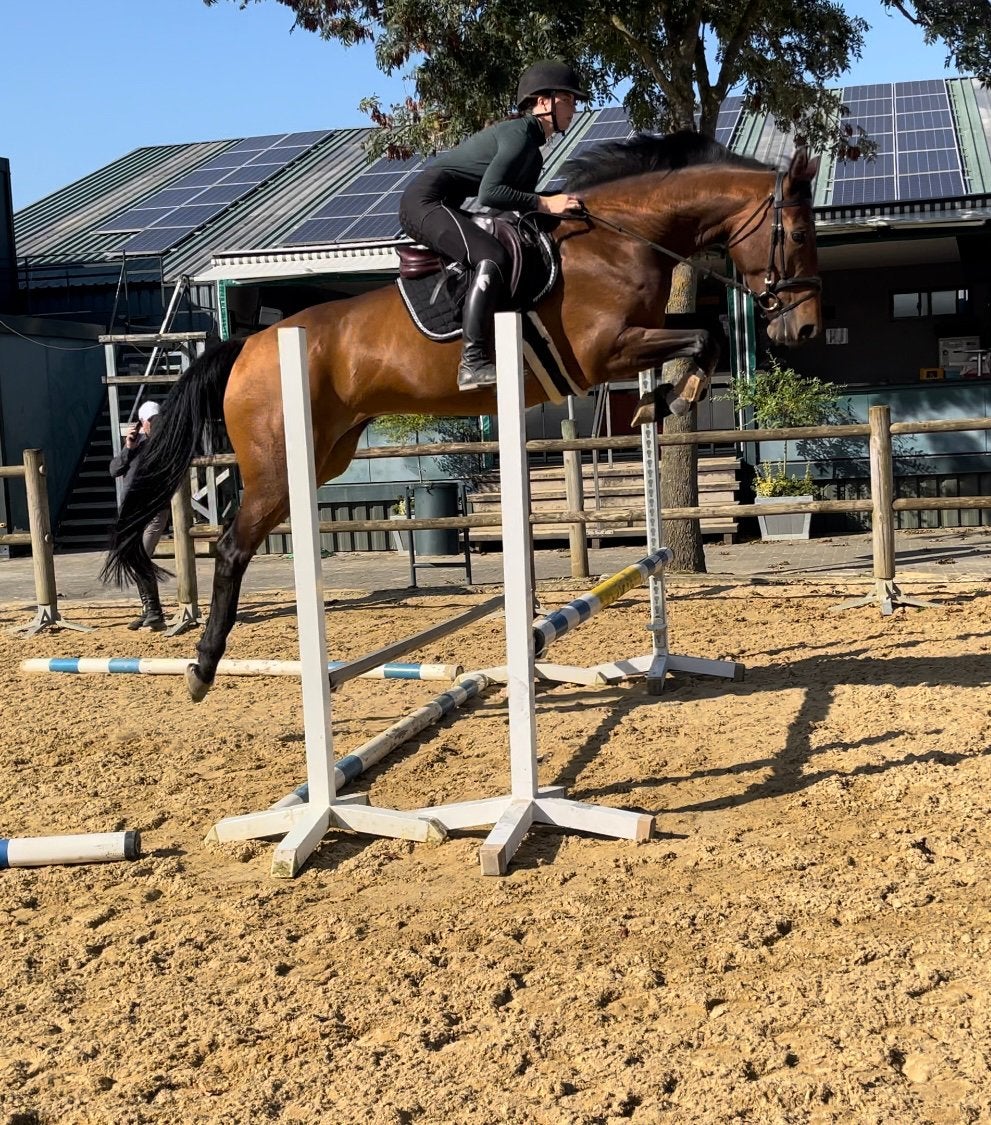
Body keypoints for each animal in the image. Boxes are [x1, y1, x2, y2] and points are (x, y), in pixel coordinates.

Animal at [102, 131, 822, 702]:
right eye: (797, 234)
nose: (805, 328)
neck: (618, 241)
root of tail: (249, 344)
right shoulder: (603, 351)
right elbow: (704, 336)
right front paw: (669, 396)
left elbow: (708, 333)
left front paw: (662, 398)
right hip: (277, 464)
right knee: (231, 546)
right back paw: (202, 668)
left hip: (325, 456)